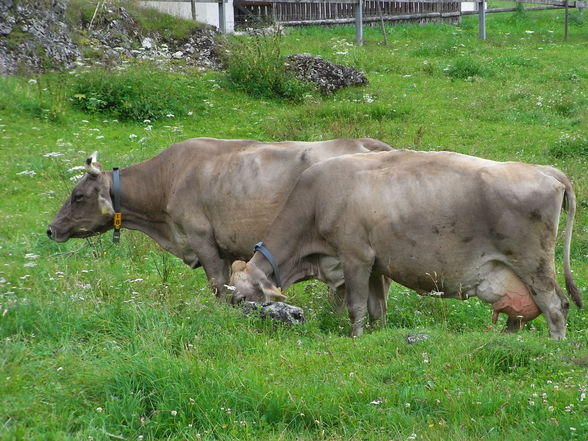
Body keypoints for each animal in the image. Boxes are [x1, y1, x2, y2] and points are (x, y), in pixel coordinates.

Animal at [48, 136, 392, 298]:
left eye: (78, 196)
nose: (51, 229)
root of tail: (364, 142)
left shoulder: (202, 238)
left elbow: (217, 285)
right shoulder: (225, 248)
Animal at [227, 150, 580, 338]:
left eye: (241, 299)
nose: (230, 325)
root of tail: (544, 170)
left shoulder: (355, 256)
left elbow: (356, 306)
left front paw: (354, 338)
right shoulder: (374, 264)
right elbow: (376, 309)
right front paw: (376, 335)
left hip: (533, 262)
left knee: (555, 306)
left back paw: (555, 345)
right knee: (525, 313)